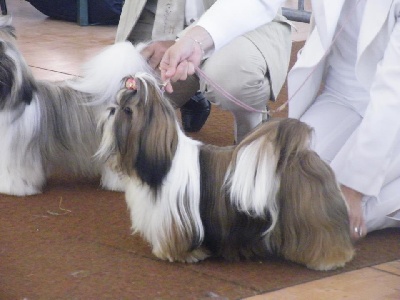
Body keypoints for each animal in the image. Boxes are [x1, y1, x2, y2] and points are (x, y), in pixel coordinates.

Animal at [98, 73, 354, 272]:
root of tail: (300, 154)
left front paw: (179, 255)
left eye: (127, 110)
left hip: (310, 214)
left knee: (323, 235)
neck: (165, 162)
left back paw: (328, 259)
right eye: (116, 103)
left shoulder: (177, 219)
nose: (110, 110)